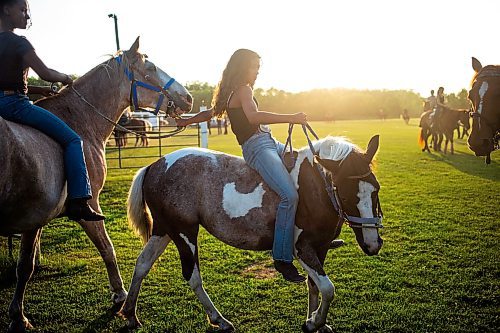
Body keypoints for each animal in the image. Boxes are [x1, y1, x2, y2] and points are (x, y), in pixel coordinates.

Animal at [0, 37, 192, 330]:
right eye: (150, 67)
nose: (188, 97)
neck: (78, 121)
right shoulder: (85, 208)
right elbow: (106, 248)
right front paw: (120, 294)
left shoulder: (37, 220)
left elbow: (27, 264)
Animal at [119, 134, 384, 330]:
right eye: (346, 195)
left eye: (376, 189)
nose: (373, 243)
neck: (316, 186)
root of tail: (154, 165)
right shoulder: (302, 249)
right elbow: (328, 289)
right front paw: (314, 322)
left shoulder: (320, 247)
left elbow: (314, 285)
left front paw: (315, 321)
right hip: (184, 233)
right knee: (192, 276)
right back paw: (219, 320)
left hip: (164, 230)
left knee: (142, 264)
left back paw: (130, 313)